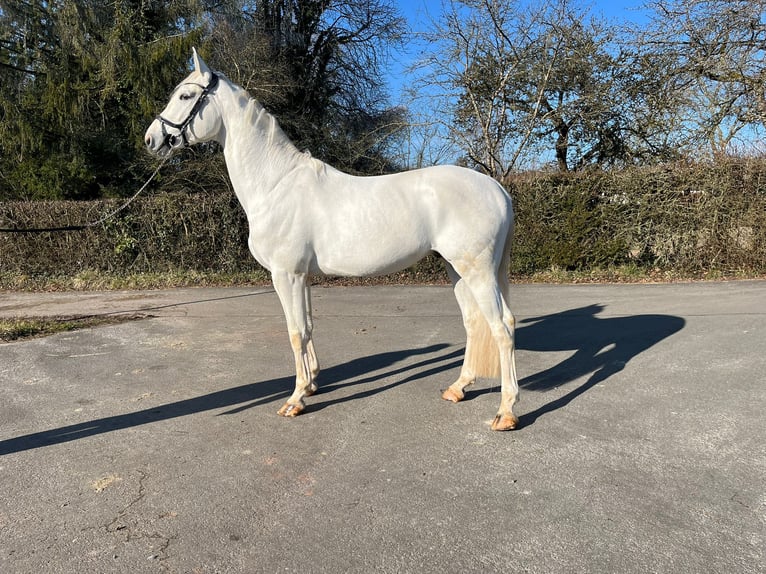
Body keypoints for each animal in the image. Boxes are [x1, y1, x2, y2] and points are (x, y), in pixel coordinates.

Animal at [145, 49, 520, 430]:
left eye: (185, 96)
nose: (151, 140)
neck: (276, 184)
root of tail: (497, 188)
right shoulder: (302, 277)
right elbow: (308, 327)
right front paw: (311, 385)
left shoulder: (286, 275)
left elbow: (295, 331)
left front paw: (295, 400)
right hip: (455, 269)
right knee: (473, 323)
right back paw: (458, 388)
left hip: (477, 271)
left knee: (502, 326)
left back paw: (506, 412)